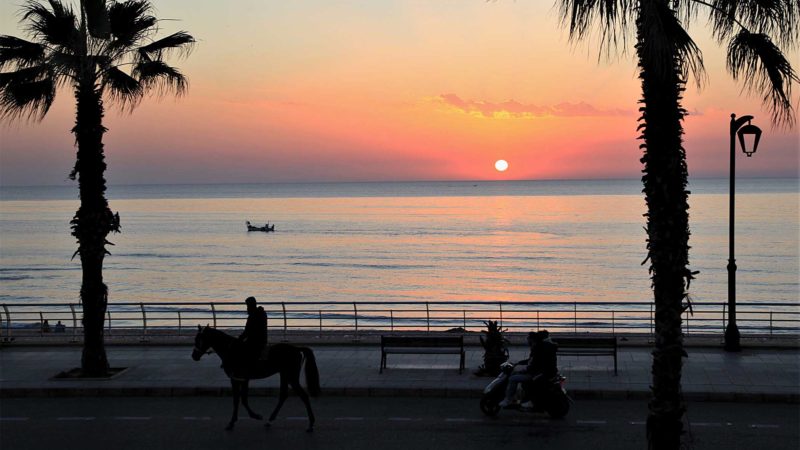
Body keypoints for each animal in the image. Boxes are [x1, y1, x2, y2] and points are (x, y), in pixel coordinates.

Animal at [192, 326, 320, 430]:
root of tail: (296, 349)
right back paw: (270, 420)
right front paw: (237, 420)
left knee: (303, 396)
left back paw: (310, 424)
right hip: (284, 375)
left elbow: (240, 399)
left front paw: (248, 417)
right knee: (284, 395)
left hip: (291, 377)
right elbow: (240, 399)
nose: (194, 356)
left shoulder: (238, 378)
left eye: (199, 339)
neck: (232, 351)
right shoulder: (240, 379)